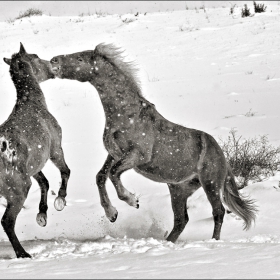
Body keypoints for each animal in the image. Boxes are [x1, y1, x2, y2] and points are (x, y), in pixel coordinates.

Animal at [2, 44, 70, 258]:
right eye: (36, 56)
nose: (53, 66)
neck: (32, 104)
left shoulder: (34, 166)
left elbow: (45, 183)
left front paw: (42, 215)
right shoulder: (55, 150)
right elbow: (65, 171)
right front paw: (60, 201)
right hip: (18, 190)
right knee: (7, 221)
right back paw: (23, 254)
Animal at [49, 43, 256, 243]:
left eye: (80, 58)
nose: (54, 61)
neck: (126, 115)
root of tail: (222, 156)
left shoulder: (137, 156)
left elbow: (114, 174)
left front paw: (132, 200)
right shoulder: (114, 154)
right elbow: (101, 176)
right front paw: (112, 214)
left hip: (210, 183)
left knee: (218, 212)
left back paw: (213, 241)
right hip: (179, 189)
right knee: (181, 219)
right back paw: (168, 242)